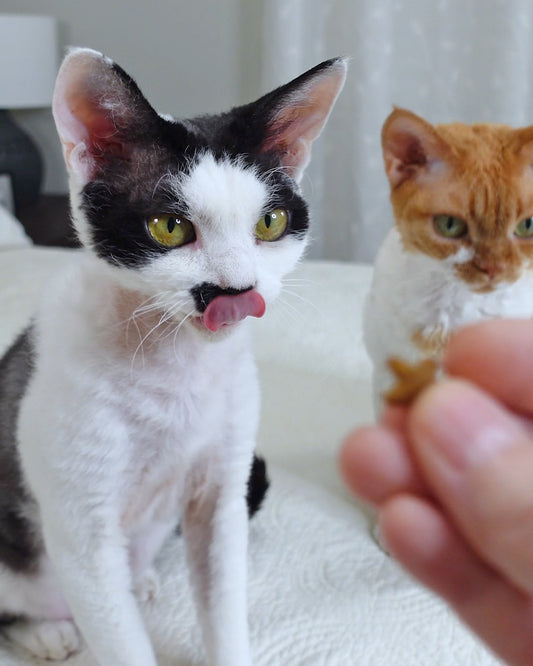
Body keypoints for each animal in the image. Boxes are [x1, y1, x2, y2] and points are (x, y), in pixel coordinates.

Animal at [0, 49, 344, 660]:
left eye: (270, 222)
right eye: (169, 227)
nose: (236, 290)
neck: (175, 368)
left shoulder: (222, 496)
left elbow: (223, 602)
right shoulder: (81, 530)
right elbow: (121, 639)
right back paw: (45, 629)